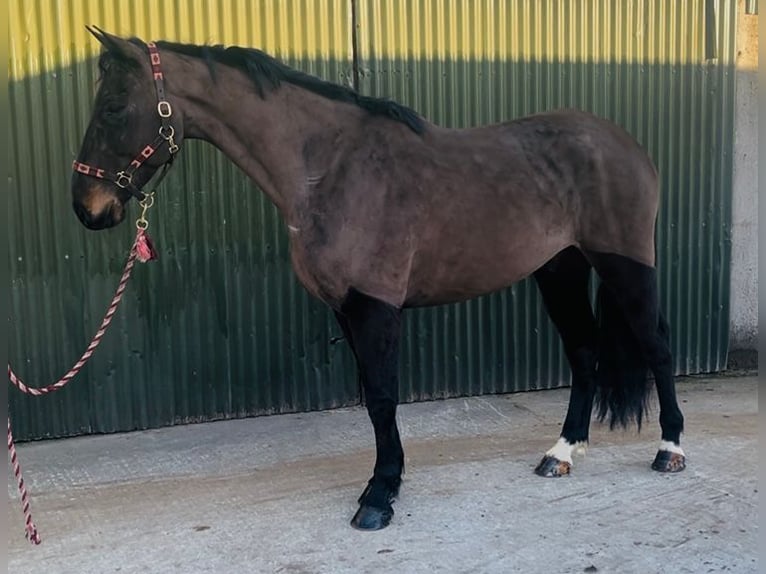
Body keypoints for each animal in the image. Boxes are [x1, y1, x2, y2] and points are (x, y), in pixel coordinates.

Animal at [71, 27, 686, 531]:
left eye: (115, 107)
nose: (87, 208)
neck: (331, 171)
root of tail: (624, 144)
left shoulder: (375, 305)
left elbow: (384, 400)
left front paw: (379, 496)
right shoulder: (345, 307)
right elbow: (372, 400)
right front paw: (383, 483)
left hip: (625, 265)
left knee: (656, 345)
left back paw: (670, 448)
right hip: (560, 269)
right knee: (583, 351)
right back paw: (561, 453)